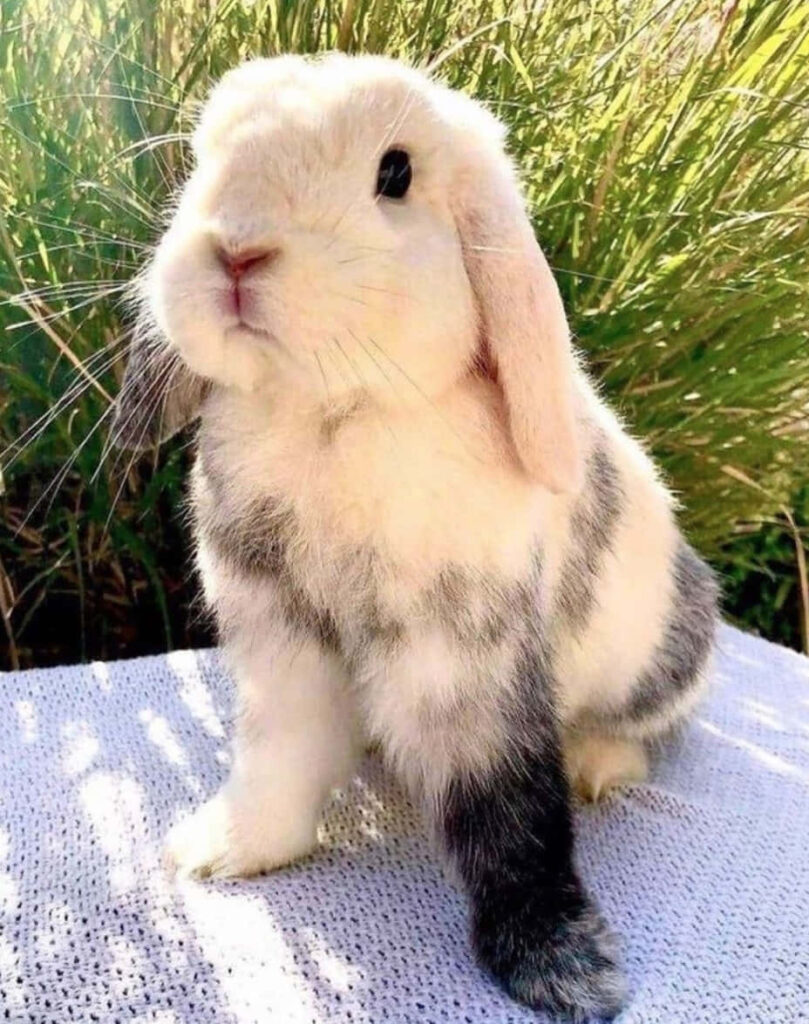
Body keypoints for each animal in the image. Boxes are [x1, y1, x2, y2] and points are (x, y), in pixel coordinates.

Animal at [112, 54, 719, 1021]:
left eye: (394, 174)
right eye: (204, 159)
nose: (236, 249)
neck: (331, 415)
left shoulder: (470, 666)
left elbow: (511, 813)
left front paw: (564, 971)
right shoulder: (282, 642)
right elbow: (276, 758)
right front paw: (224, 849)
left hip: (662, 655)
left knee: (640, 727)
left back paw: (598, 763)